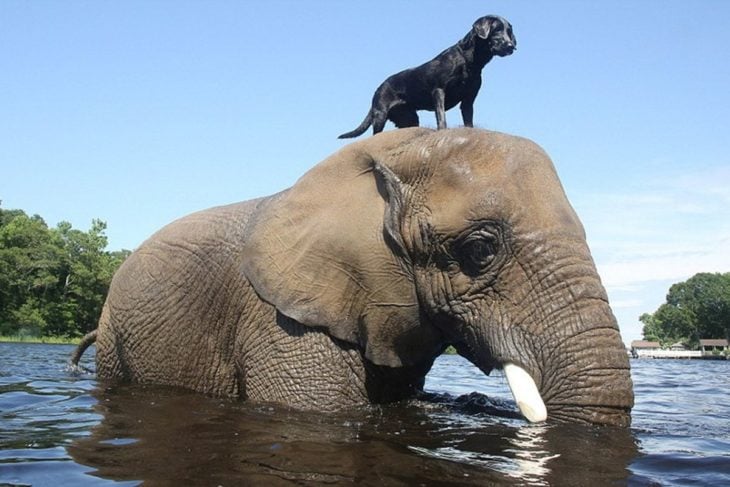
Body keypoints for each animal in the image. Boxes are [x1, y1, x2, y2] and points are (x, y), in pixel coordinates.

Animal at [336, 15, 516, 139]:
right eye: (497, 29)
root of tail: (378, 88)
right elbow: (441, 117)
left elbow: (468, 120)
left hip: (410, 118)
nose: (511, 46)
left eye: (509, 31)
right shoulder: (439, 91)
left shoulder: (468, 99)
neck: (469, 60)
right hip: (380, 115)